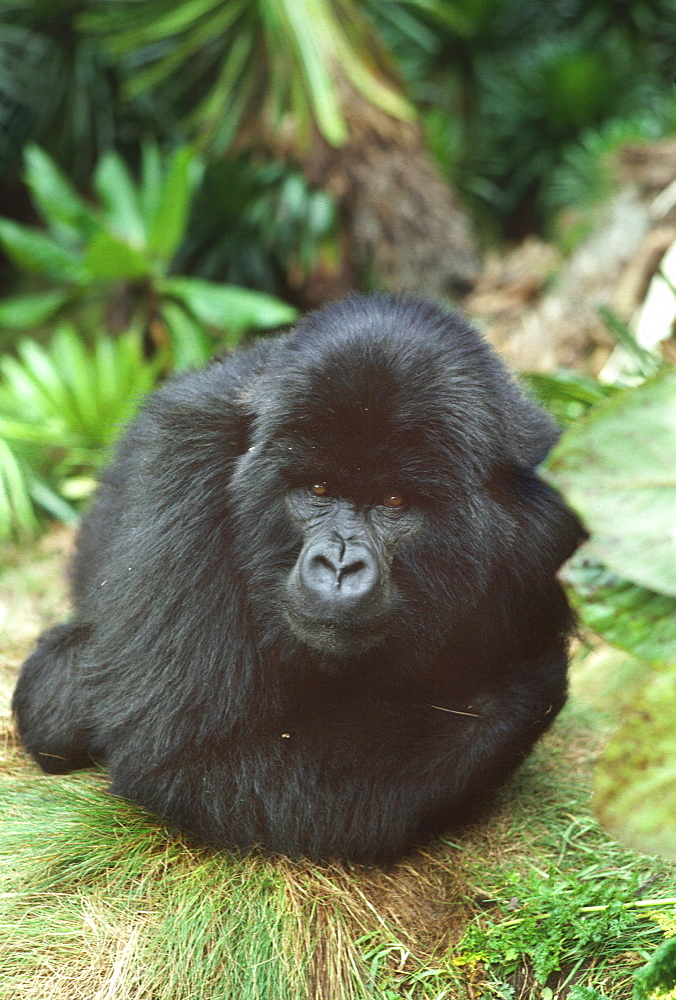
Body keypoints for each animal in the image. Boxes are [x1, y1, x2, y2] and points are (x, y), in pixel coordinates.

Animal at [11, 292, 580, 864]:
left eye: (394, 501)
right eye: (319, 489)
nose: (340, 566)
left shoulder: (549, 527)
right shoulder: (183, 461)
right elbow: (190, 755)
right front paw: (512, 701)